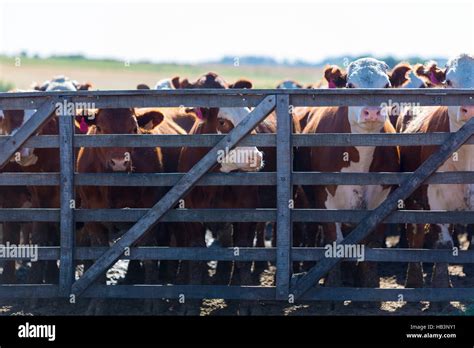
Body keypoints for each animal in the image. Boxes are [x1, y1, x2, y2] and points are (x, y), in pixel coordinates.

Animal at [302, 58, 402, 288]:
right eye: (350, 85)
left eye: (387, 85)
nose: (372, 112)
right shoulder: (325, 198)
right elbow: (335, 241)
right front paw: (333, 285)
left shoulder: (382, 199)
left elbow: (370, 244)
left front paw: (369, 286)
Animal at [400, 53, 474, 288]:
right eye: (448, 81)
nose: (469, 110)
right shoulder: (436, 200)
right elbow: (442, 244)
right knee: (414, 233)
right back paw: (414, 280)